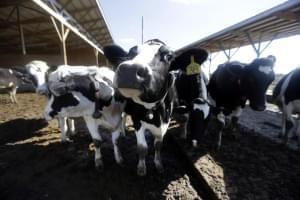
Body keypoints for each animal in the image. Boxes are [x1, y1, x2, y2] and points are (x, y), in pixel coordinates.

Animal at [103, 39, 209, 177]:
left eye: (169, 56)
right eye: (130, 53)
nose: (129, 70)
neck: (152, 111)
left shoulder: (165, 122)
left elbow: (158, 145)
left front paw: (158, 165)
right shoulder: (137, 121)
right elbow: (142, 148)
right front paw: (141, 168)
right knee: (117, 131)